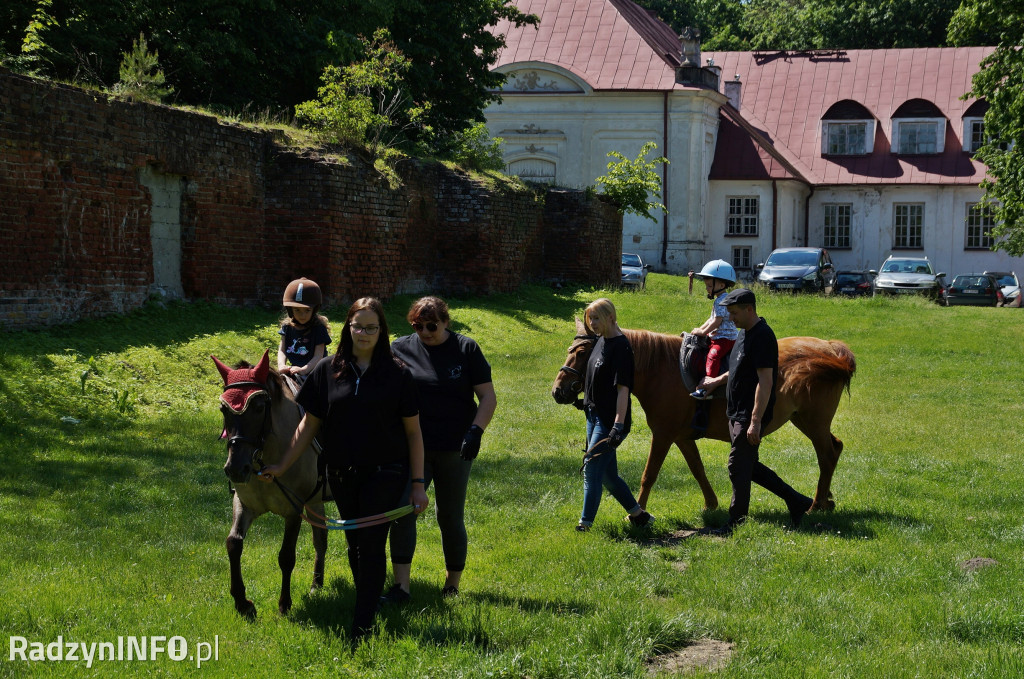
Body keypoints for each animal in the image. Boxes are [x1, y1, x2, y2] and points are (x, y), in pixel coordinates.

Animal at [212, 352, 327, 618]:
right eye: (223, 409)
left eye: (258, 407)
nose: (235, 468)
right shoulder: (244, 504)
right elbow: (233, 543)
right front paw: (242, 602)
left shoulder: (294, 509)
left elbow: (286, 556)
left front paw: (284, 604)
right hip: (316, 502)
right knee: (321, 539)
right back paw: (316, 585)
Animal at [552, 321, 856, 512]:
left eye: (582, 352)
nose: (558, 390)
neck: (662, 369)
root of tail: (832, 351)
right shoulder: (682, 437)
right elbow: (697, 469)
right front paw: (711, 504)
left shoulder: (663, 435)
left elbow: (649, 474)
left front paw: (638, 511)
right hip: (805, 420)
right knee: (836, 447)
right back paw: (823, 499)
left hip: (813, 421)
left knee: (827, 455)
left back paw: (816, 505)